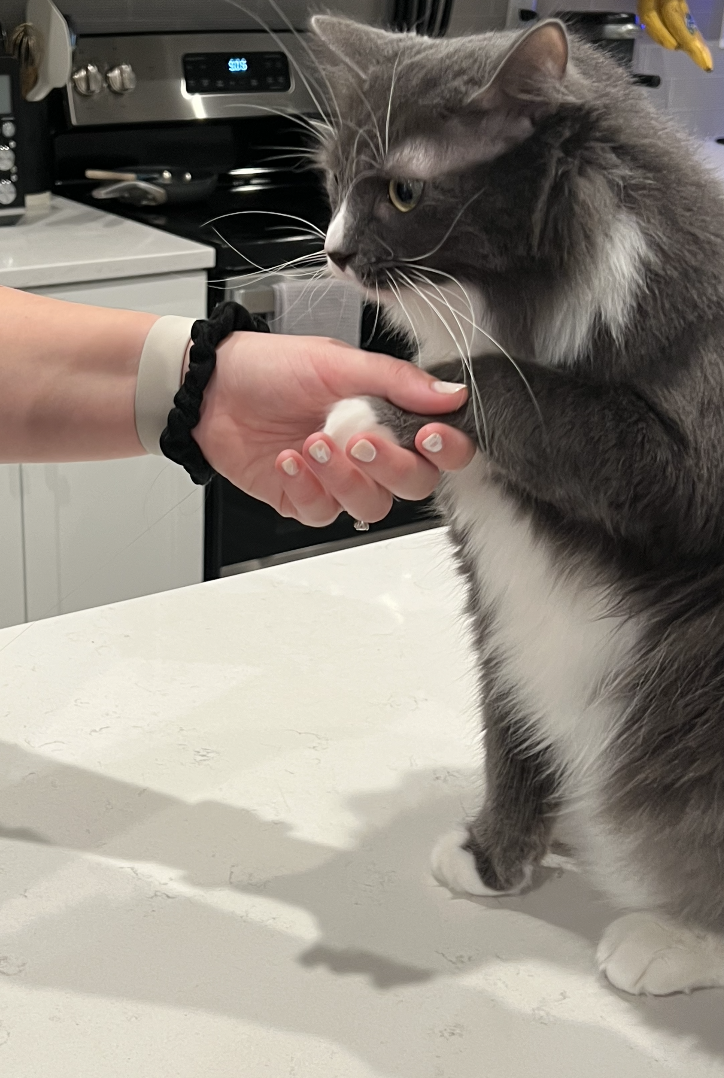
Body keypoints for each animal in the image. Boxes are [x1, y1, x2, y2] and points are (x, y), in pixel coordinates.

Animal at [312, 14, 724, 991]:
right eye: (333, 179)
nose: (333, 250)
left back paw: (674, 937)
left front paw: (378, 404)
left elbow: (498, 382)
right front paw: (497, 858)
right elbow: (514, 731)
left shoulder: (682, 463)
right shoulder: (498, 588)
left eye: (404, 191)